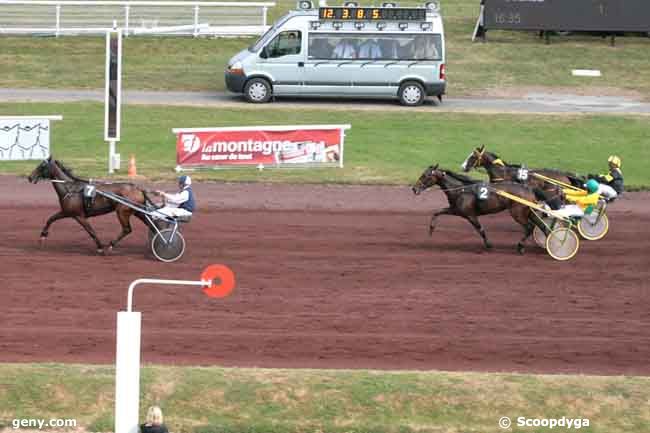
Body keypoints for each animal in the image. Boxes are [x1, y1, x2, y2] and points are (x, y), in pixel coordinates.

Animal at [410, 165, 540, 253]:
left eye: (425, 175)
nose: (414, 189)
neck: (461, 190)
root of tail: (528, 189)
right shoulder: (456, 210)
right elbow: (437, 212)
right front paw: (431, 229)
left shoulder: (470, 215)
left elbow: (480, 230)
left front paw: (488, 245)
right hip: (527, 212)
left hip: (517, 213)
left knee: (529, 227)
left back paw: (520, 246)